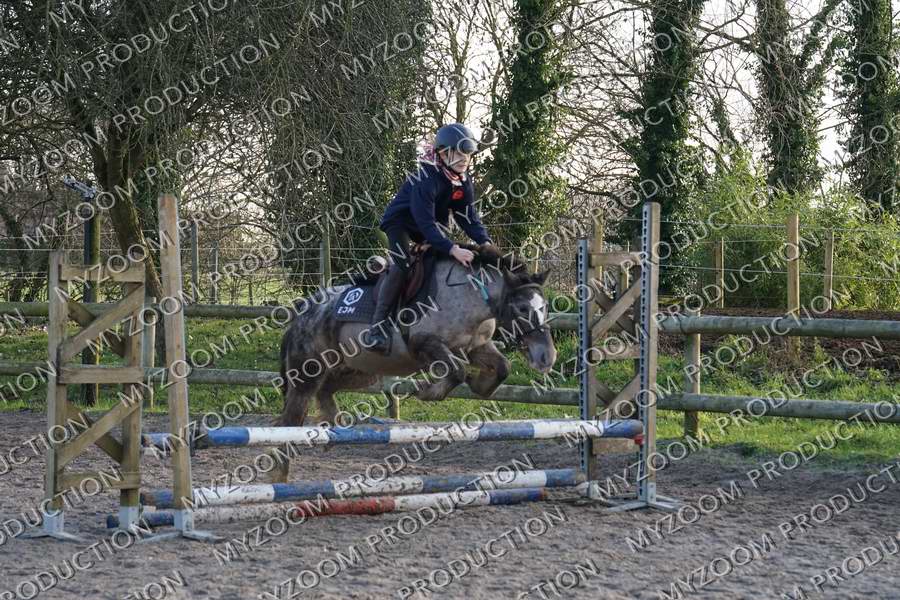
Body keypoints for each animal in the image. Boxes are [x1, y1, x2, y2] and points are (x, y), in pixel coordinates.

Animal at [267, 244, 557, 481]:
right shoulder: (425, 344)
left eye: (544, 306)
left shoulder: (476, 347)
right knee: (289, 421)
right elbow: (456, 371)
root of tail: (303, 313)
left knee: (326, 390)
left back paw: (332, 428)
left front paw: (478, 385)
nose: (547, 357)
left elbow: (502, 368)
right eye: (522, 308)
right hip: (307, 373)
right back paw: (280, 475)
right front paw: (428, 391)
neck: (470, 297)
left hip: (360, 371)